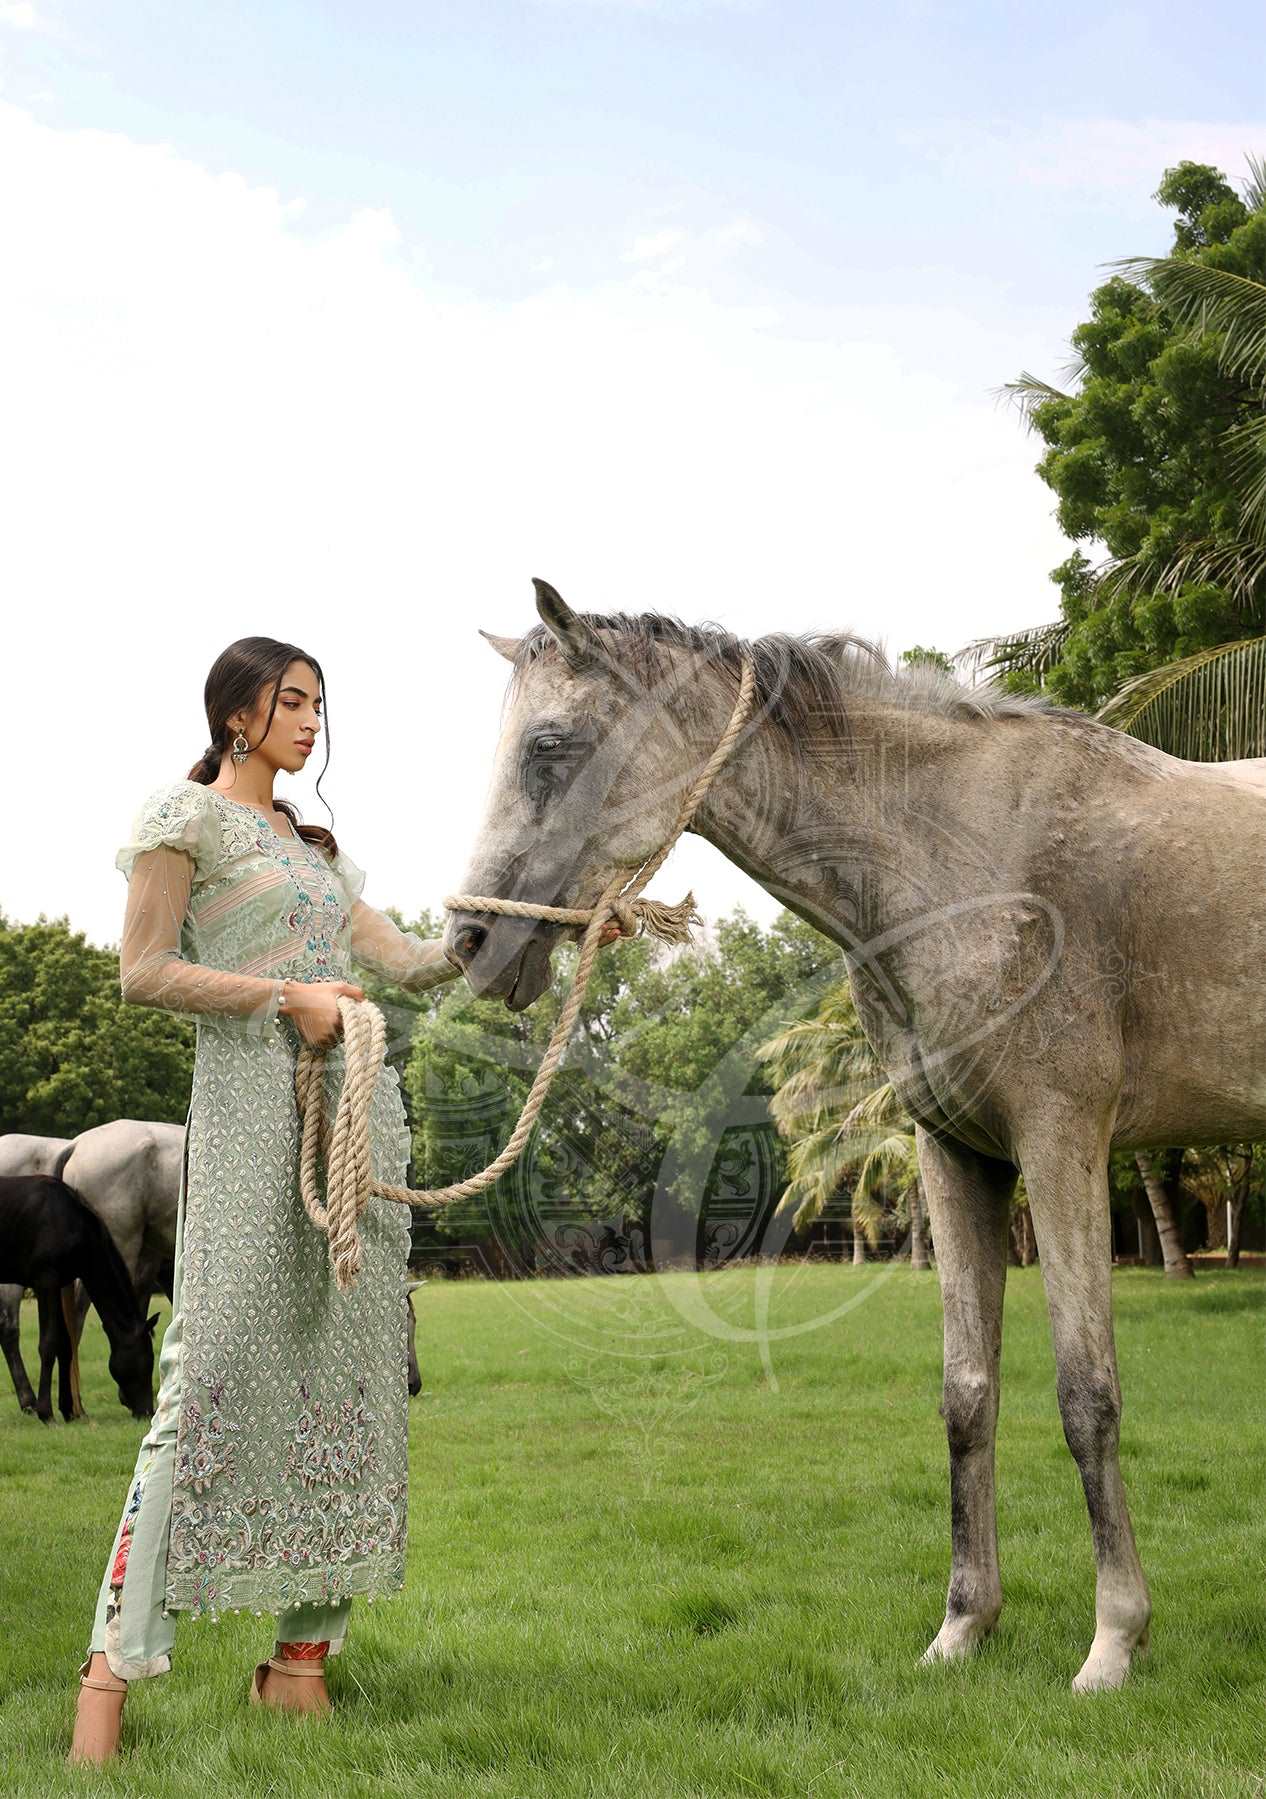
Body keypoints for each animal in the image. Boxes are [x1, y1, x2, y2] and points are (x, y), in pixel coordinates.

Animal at [0, 1172, 158, 1424]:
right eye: (146, 1360)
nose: (147, 1412)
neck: (70, 1219)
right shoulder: (46, 1281)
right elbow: (48, 1344)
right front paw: (46, 1413)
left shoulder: (59, 1283)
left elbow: (65, 1344)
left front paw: (69, 1410)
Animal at [436, 582, 1266, 1691]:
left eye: (550, 746)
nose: (471, 943)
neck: (970, 855)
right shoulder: (958, 1153)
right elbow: (967, 1396)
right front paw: (963, 1626)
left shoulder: (1061, 1144)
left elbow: (1087, 1393)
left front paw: (1113, 1640)